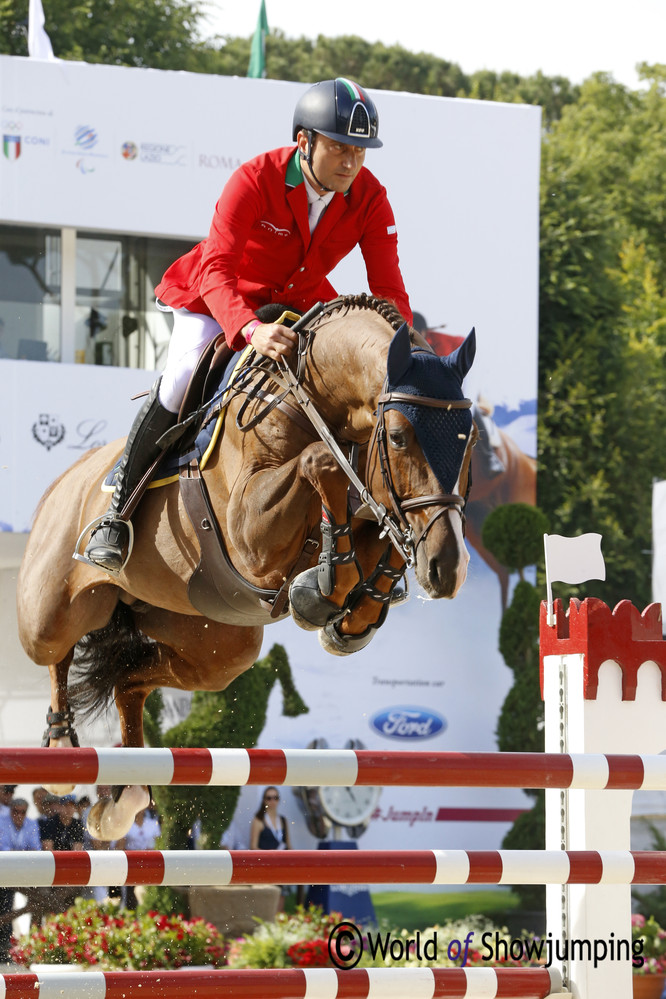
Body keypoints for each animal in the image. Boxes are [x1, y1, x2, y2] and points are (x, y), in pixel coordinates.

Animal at [16, 292, 478, 840]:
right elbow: (321, 460)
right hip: (54, 608)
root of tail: (64, 480)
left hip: (217, 648)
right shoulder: (248, 534)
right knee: (57, 653)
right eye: (402, 437)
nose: (447, 569)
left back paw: (123, 798)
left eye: (470, 439)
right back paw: (62, 752)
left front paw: (347, 608)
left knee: (130, 679)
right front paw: (324, 589)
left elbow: (372, 525)